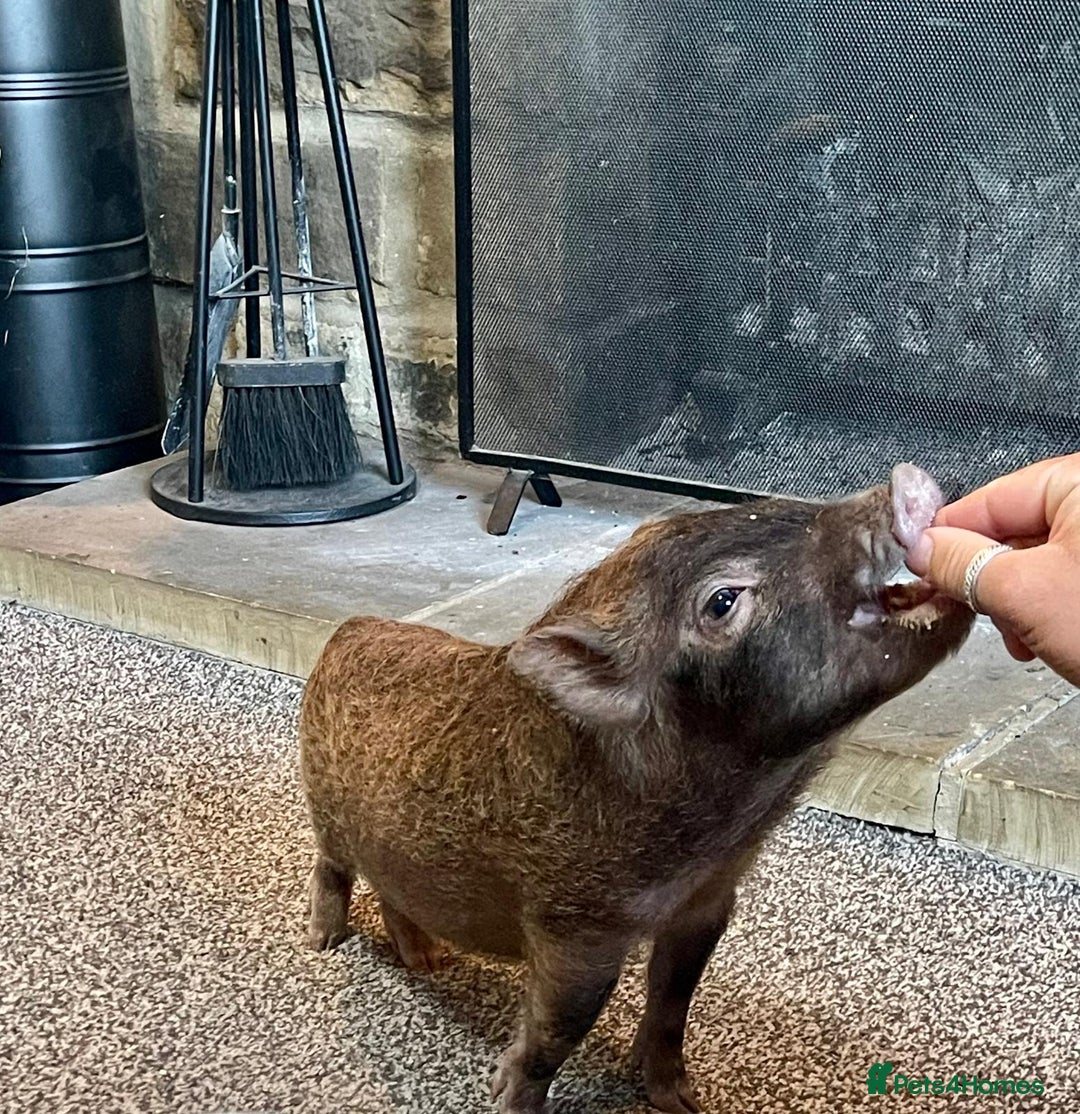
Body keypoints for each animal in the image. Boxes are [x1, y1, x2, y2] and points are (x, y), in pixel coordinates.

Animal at [299, 463, 973, 1114]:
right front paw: (511, 1100)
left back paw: (431, 962)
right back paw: (325, 943)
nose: (903, 480)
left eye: (781, 507)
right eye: (722, 601)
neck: (723, 829)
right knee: (332, 867)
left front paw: (680, 1100)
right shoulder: (574, 927)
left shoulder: (709, 902)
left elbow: (674, 999)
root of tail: (349, 627)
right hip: (322, 805)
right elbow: (557, 1030)